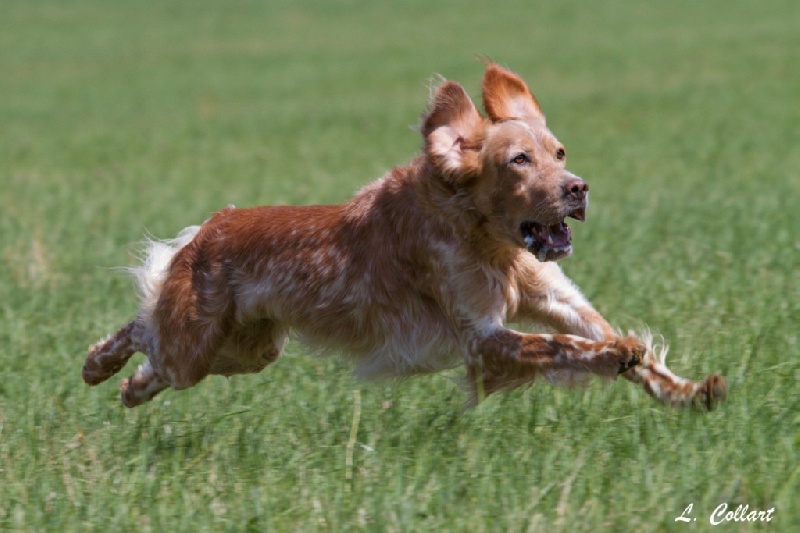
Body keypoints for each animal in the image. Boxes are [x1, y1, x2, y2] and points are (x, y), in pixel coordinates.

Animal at [81, 64, 724, 410]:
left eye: (560, 152)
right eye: (519, 160)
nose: (578, 189)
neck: (489, 239)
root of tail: (213, 225)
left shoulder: (561, 302)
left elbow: (623, 348)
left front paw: (689, 391)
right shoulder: (483, 338)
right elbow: (567, 347)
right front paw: (615, 356)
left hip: (251, 348)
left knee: (152, 351)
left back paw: (126, 385)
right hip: (198, 342)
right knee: (144, 331)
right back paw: (98, 364)